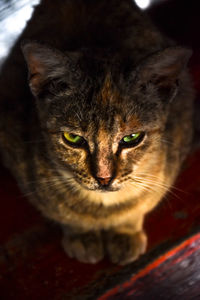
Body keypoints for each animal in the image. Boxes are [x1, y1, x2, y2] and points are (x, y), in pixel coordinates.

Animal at [0, 0, 195, 264]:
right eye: (73, 138)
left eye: (131, 138)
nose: (103, 178)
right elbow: (64, 214)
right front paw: (82, 234)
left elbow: (138, 208)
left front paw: (125, 232)